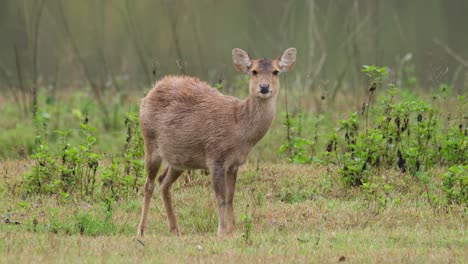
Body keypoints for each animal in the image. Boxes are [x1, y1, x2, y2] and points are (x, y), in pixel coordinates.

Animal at [137, 47, 296, 237]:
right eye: (254, 71)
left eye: (276, 71)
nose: (264, 87)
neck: (238, 128)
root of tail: (150, 92)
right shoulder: (215, 157)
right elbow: (220, 197)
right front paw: (221, 231)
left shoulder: (234, 163)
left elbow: (230, 197)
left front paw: (233, 228)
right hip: (150, 141)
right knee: (148, 185)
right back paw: (141, 230)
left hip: (178, 158)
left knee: (163, 183)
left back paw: (175, 229)